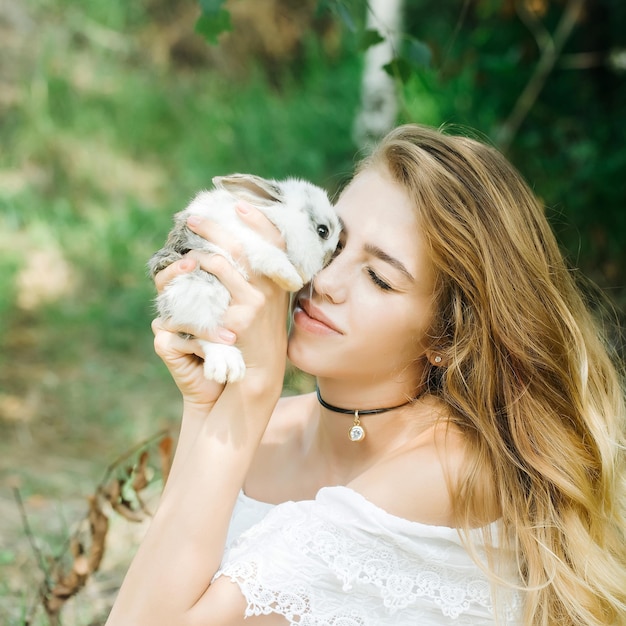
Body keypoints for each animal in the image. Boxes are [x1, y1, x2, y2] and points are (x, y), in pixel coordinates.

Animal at [147, 173, 338, 382]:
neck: (273, 219)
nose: (329, 258)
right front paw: (292, 280)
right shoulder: (243, 236)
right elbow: (267, 254)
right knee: (203, 328)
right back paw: (227, 365)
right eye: (323, 231)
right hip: (196, 287)